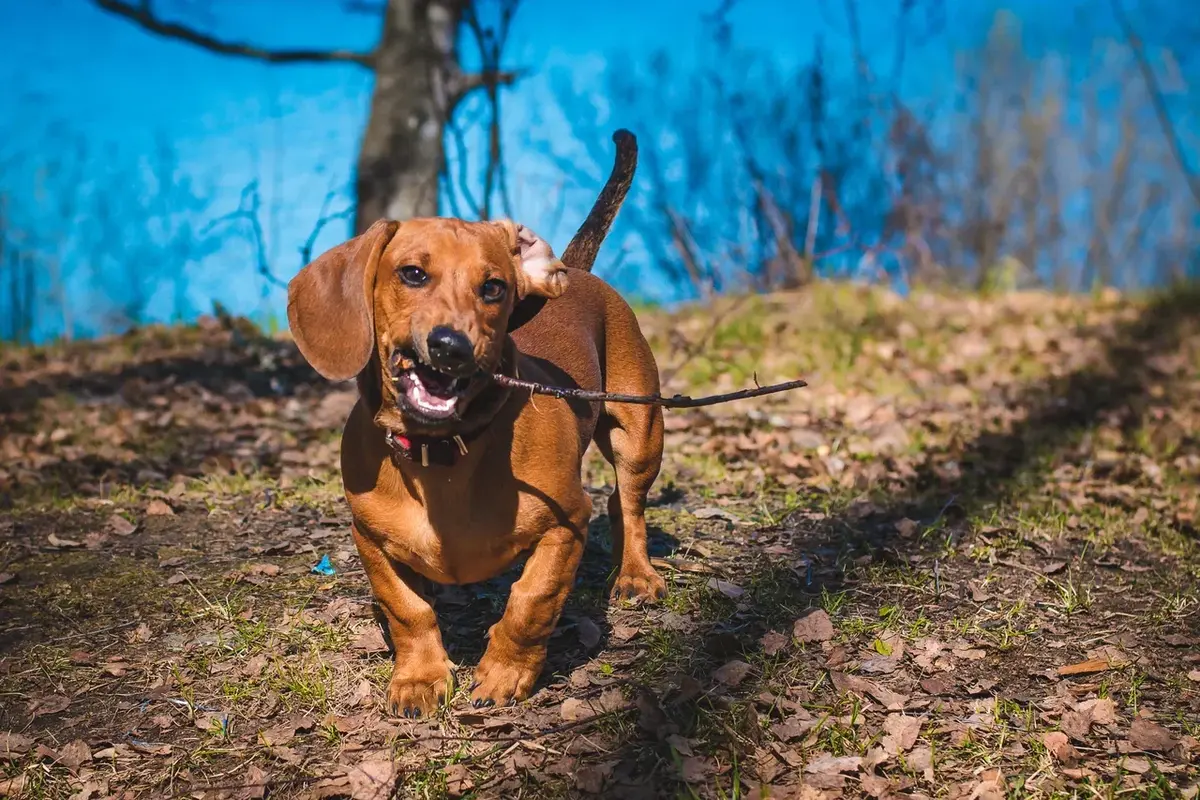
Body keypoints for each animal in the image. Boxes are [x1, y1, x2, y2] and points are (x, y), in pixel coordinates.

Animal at [286, 133, 672, 719]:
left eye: (492, 287)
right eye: (412, 273)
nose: (451, 346)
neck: (441, 453)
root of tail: (577, 271)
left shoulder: (564, 526)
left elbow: (531, 601)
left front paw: (504, 673)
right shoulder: (369, 539)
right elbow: (408, 610)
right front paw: (419, 678)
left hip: (640, 431)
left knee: (627, 504)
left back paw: (635, 575)